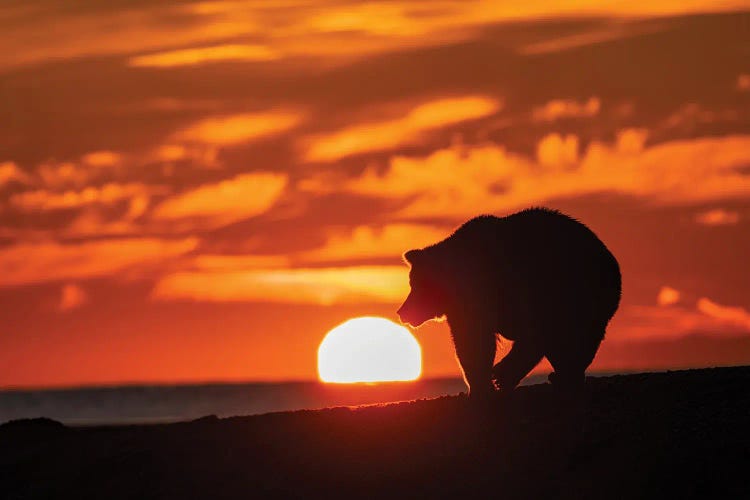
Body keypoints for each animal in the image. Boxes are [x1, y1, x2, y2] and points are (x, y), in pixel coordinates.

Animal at [400, 207, 624, 398]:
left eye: (414, 285)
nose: (402, 312)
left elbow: (481, 340)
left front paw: (491, 380)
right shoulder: (463, 310)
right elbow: (469, 343)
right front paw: (483, 383)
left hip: (579, 291)